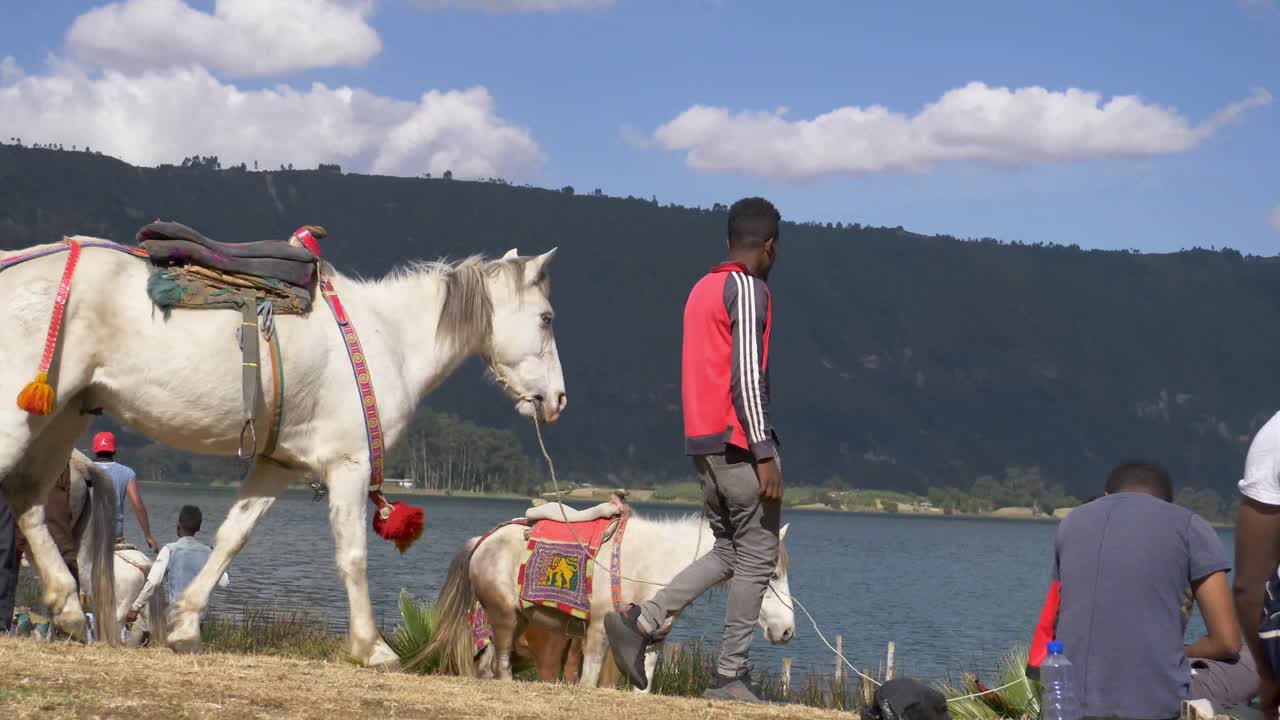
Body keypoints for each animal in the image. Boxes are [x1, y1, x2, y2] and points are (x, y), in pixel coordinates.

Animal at [0, 239, 566, 668]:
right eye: (546, 317)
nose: (557, 400)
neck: (387, 338)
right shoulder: (350, 465)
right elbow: (353, 554)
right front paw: (373, 647)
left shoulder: (278, 464)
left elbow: (232, 536)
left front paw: (185, 627)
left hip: (65, 415)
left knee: (26, 497)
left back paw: (67, 608)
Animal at [427, 512, 795, 690]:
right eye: (771, 575)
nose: (787, 630)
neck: (651, 565)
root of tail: (483, 540)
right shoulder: (597, 632)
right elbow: (589, 679)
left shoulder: (652, 642)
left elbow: (643, 686)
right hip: (504, 618)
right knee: (501, 667)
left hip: (515, 622)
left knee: (487, 667)